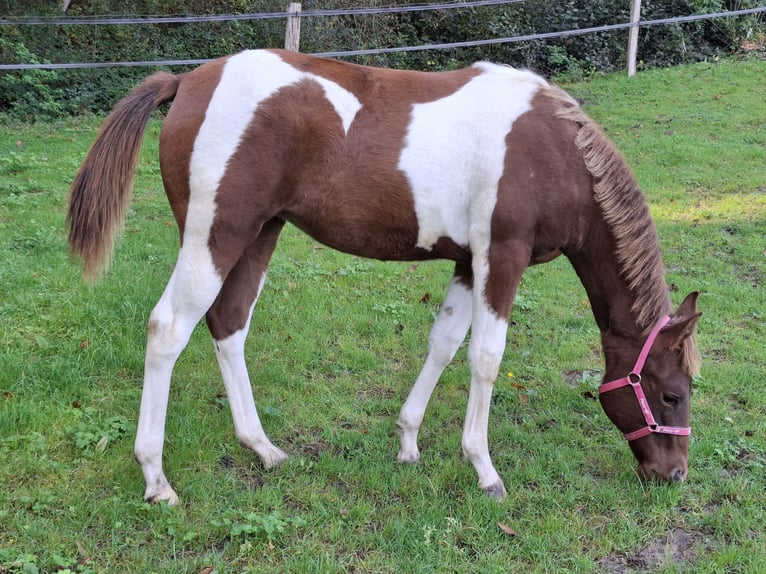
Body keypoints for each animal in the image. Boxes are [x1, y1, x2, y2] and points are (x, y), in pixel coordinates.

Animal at [67, 50, 704, 508]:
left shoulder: (468, 262)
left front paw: (408, 442)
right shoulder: (502, 256)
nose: (673, 474)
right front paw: (484, 470)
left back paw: (264, 449)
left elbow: (443, 344)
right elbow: (485, 357)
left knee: (228, 324)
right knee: (168, 329)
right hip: (216, 238)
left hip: (259, 234)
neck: (556, 153)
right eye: (671, 393)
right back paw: (156, 479)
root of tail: (188, 82)